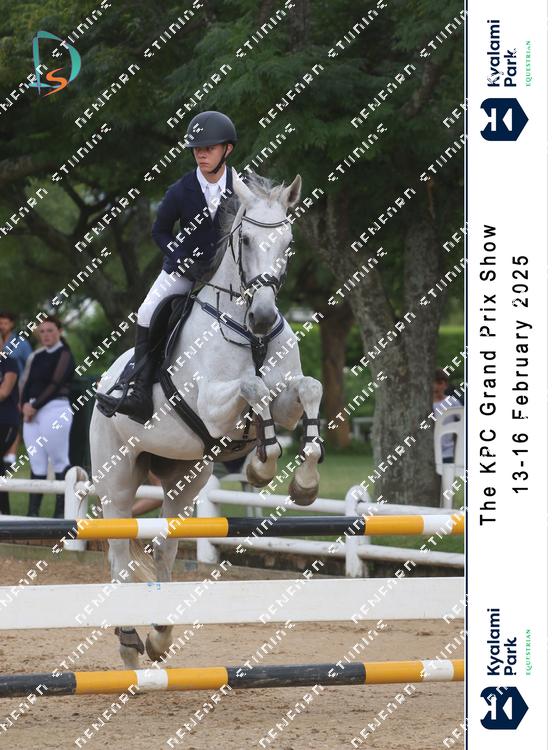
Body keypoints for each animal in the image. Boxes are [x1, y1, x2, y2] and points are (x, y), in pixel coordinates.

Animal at [89, 169, 324, 668]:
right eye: (246, 240)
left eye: (289, 242)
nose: (263, 316)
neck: (250, 334)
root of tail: (106, 381)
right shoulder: (214, 409)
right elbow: (252, 388)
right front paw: (263, 464)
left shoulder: (286, 399)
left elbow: (307, 388)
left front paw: (304, 481)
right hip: (117, 478)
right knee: (119, 554)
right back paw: (129, 642)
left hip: (187, 476)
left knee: (164, 544)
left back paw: (159, 635)